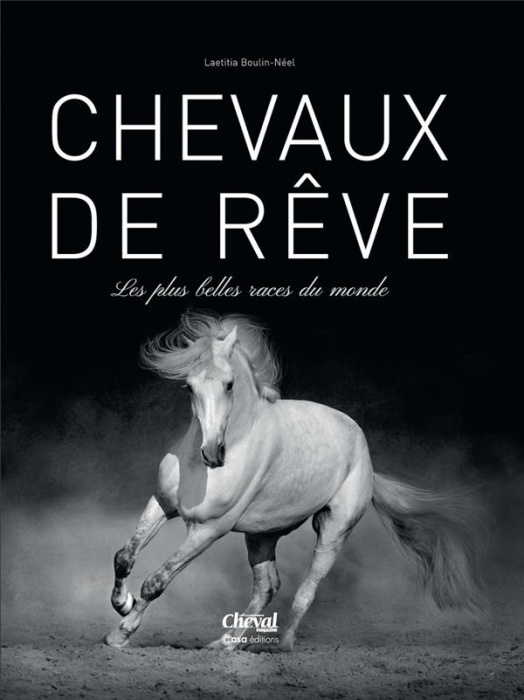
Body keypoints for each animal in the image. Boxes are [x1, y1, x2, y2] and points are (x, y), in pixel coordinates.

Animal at [105, 311, 486, 651]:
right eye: (189, 386)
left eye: (229, 384)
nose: (213, 454)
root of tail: (365, 455)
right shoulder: (161, 505)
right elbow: (124, 556)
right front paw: (122, 604)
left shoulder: (208, 530)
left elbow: (157, 581)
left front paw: (120, 634)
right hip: (261, 535)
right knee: (267, 588)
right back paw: (225, 645)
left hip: (333, 530)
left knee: (306, 589)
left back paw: (283, 645)